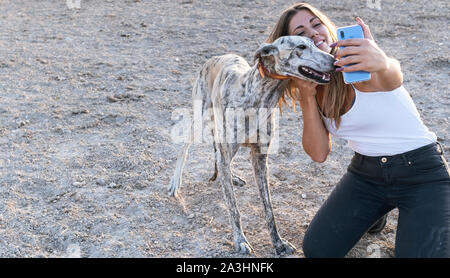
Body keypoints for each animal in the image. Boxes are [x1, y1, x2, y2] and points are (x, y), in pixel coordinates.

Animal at [169, 35, 338, 255]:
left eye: (315, 44)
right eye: (301, 46)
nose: (335, 62)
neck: (258, 95)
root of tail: (215, 57)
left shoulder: (259, 158)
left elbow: (269, 209)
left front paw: (278, 243)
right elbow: (234, 208)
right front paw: (240, 240)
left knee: (219, 154)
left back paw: (229, 176)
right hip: (199, 114)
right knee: (186, 148)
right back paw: (175, 183)